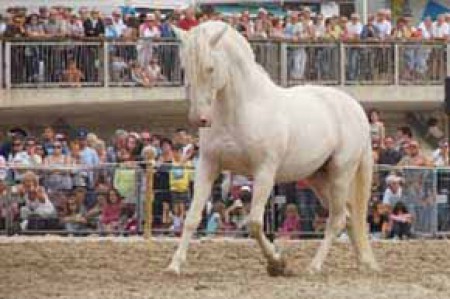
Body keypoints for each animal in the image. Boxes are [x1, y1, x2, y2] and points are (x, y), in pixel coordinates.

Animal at [167, 21, 378, 276]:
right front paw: (174, 265)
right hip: (318, 177)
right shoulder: (208, 166)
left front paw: (277, 263)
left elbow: (255, 223)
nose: (199, 119)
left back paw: (314, 267)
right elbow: (192, 217)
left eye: (210, 68)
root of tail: (355, 108)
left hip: (340, 174)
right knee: (348, 217)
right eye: (184, 68)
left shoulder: (265, 172)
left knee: (336, 219)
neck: (242, 109)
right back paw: (364, 263)